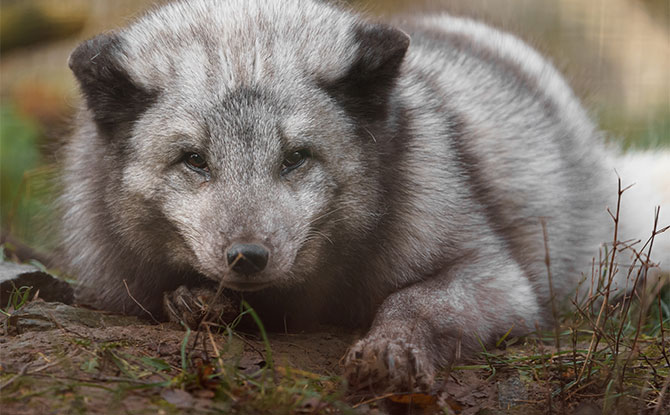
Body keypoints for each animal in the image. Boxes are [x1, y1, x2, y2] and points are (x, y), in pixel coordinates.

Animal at [61, 0, 668, 392]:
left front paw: (390, 348)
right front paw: (199, 301)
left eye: (297, 157)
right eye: (193, 159)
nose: (247, 257)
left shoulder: (501, 278)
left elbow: (415, 299)